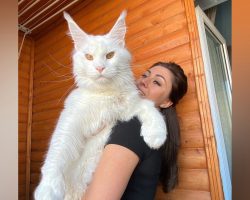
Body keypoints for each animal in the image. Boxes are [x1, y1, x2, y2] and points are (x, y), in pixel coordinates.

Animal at [33, 10, 166, 200]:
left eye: (110, 55)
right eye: (89, 57)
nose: (100, 68)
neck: (103, 96)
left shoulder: (127, 108)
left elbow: (149, 107)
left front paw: (156, 135)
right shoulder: (71, 119)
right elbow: (57, 152)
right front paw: (48, 188)